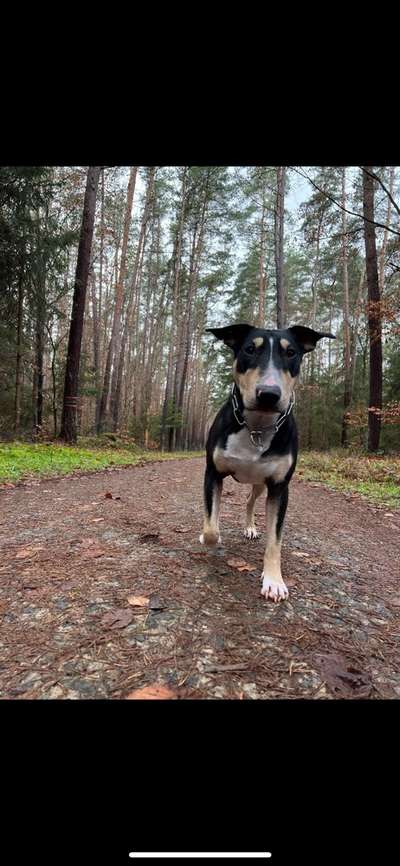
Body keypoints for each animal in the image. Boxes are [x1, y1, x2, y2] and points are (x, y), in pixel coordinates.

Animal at [200, 322, 334, 600]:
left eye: (291, 352)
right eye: (250, 349)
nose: (269, 394)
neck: (257, 426)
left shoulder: (279, 488)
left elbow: (275, 540)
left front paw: (273, 580)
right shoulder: (213, 473)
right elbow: (211, 528)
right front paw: (209, 538)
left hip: (260, 483)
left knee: (250, 501)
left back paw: (250, 527)